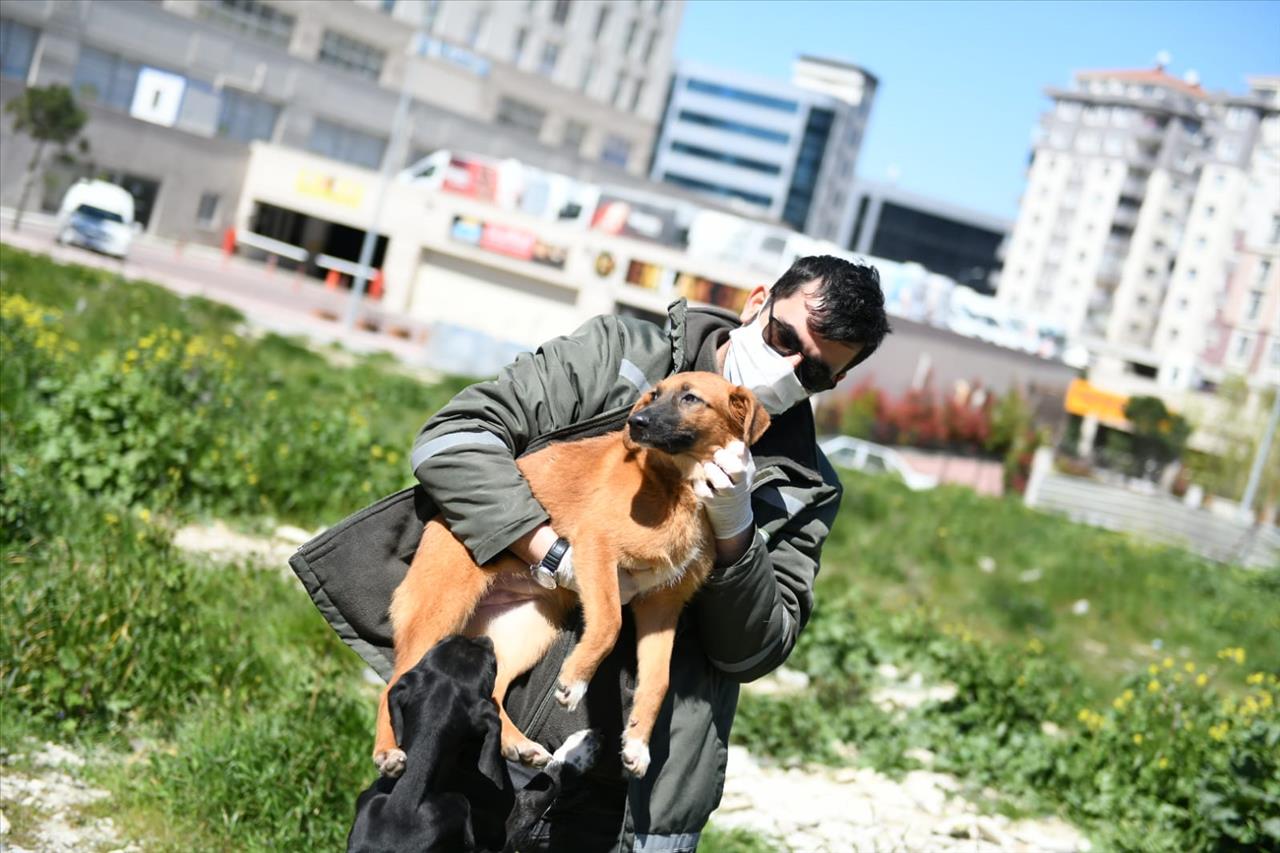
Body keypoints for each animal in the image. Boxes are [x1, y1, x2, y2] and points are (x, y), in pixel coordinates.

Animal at [345, 635, 593, 845]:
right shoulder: (501, 835)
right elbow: (540, 791)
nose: (485, 637)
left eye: (442, 642)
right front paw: (580, 746)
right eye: (491, 665)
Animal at [373, 371, 768, 778]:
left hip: (524, 631)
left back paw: (517, 744)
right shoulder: (597, 548)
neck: (681, 486)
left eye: (691, 398)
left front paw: (638, 743)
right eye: (654, 395)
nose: (635, 423)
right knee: (394, 684)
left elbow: (659, 678)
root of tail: (439, 520)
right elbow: (609, 622)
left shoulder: (662, 604)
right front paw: (576, 681)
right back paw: (388, 751)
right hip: (439, 612)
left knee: (494, 691)